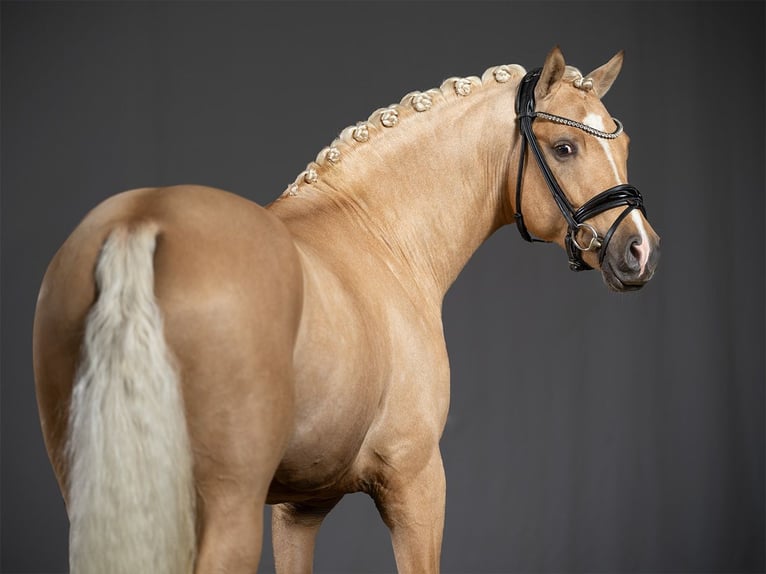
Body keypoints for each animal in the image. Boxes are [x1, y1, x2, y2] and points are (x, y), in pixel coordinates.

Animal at [32, 47, 660, 573]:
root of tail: (143, 221)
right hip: (226, 512)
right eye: (564, 147)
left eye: (625, 146)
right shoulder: (416, 483)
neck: (377, 234)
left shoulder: (298, 511)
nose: (640, 250)